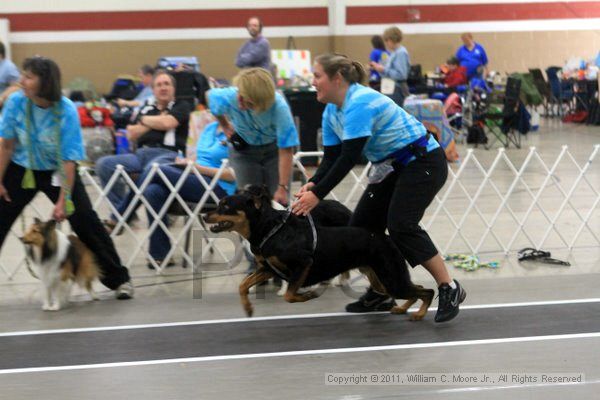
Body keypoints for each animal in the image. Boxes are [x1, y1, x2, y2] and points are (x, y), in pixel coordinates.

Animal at [204, 184, 434, 318]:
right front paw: (248, 308)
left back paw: (419, 314)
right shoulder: (268, 268)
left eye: (225, 206)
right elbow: (243, 285)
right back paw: (403, 308)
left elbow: (289, 294)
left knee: (427, 291)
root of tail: (387, 238)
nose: (205, 215)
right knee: (416, 288)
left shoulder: (303, 263)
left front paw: (308, 295)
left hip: (390, 277)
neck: (269, 228)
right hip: (380, 277)